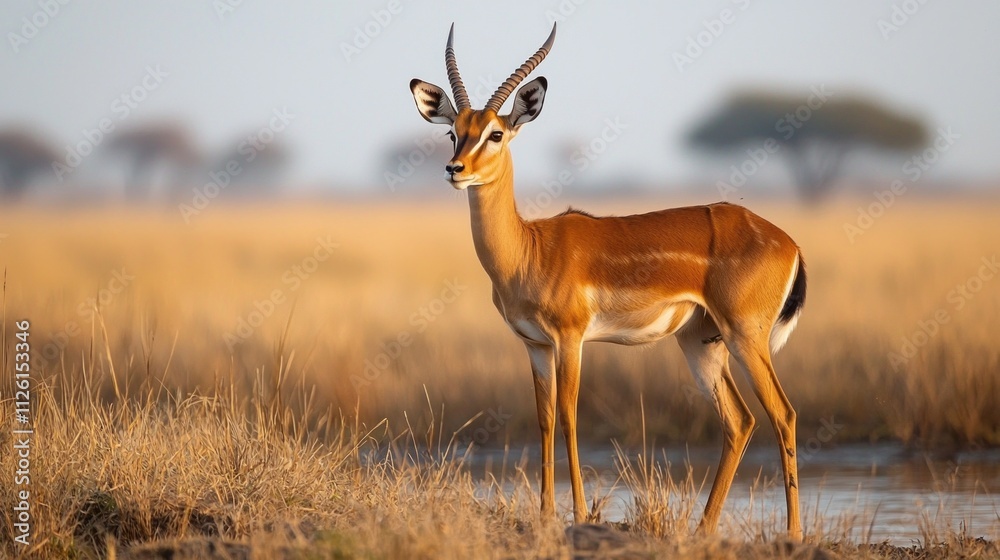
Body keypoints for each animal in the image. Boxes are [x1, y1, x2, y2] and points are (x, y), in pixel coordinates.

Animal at [409, 23, 807, 541]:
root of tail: (788, 242)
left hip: (746, 337)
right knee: (739, 422)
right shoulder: (534, 345)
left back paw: (793, 535)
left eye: (496, 133)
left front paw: (579, 514)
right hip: (700, 343)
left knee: (783, 414)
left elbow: (569, 416)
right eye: (454, 132)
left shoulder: (571, 338)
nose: (455, 170)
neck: (528, 250)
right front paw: (545, 515)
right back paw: (703, 529)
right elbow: (543, 419)